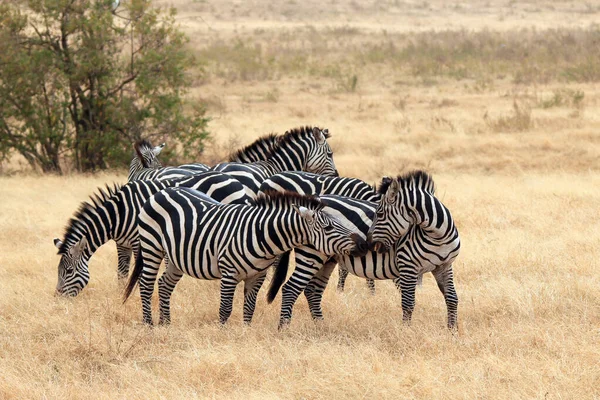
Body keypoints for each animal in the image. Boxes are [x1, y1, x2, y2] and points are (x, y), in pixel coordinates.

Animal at [50, 172, 250, 296]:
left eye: (69, 271)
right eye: (58, 271)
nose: (58, 298)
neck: (118, 215)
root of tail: (232, 179)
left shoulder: (139, 241)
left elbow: (138, 272)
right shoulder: (122, 243)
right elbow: (122, 272)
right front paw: (120, 293)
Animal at [123, 190, 366, 324]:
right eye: (328, 227)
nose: (361, 243)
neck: (261, 234)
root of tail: (161, 192)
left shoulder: (257, 276)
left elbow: (249, 308)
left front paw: (245, 333)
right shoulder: (229, 272)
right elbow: (225, 309)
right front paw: (222, 335)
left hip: (176, 257)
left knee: (164, 284)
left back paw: (166, 323)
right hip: (152, 246)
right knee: (146, 284)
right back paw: (149, 324)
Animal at [366, 171, 460, 328]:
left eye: (379, 214)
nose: (369, 244)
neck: (439, 237)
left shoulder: (445, 266)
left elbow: (452, 298)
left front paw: (452, 330)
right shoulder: (407, 266)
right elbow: (408, 303)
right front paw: (405, 330)